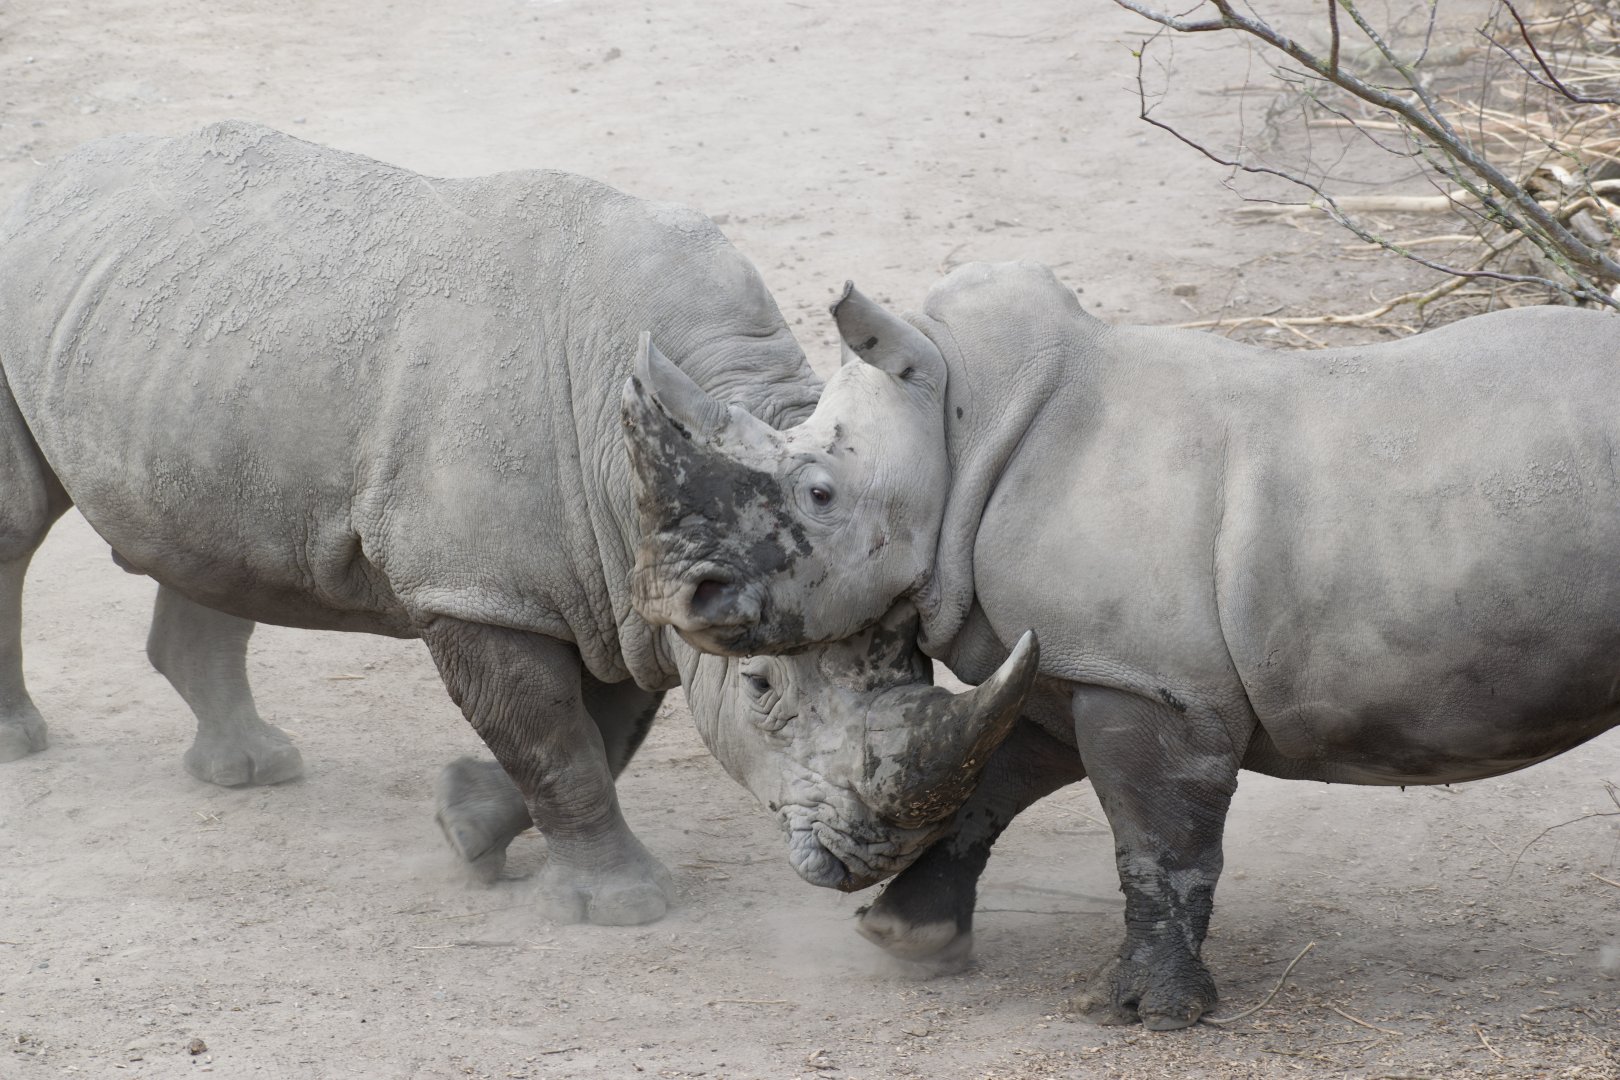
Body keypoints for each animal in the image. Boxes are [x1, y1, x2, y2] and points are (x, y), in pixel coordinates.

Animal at [0, 121, 1033, 926]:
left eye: (920, 666)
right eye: (763, 694)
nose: (880, 854)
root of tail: (47, 175)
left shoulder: (627, 579)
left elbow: (600, 736)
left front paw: (466, 824)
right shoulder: (479, 588)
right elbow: (556, 743)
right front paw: (623, 908)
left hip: (196, 348)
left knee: (216, 539)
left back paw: (251, 768)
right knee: (17, 527)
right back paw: (26, 747)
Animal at [623, 259, 1620, 1025]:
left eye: (819, 493)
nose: (677, 590)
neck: (963, 423)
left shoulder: (1154, 682)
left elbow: (1158, 841)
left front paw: (1153, 1014)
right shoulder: (1075, 661)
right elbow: (993, 781)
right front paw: (904, 936)